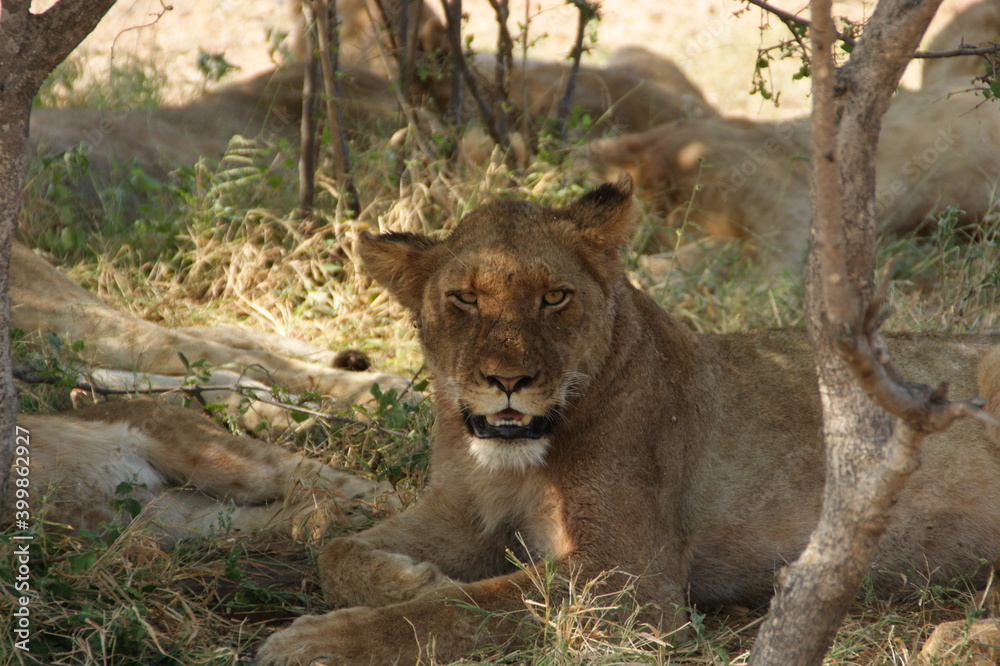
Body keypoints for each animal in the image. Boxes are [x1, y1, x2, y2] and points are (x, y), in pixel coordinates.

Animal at [255, 176, 1000, 665]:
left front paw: (317, 640)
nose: (508, 382)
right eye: (464, 299)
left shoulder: (630, 579)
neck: (512, 466)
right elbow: (335, 549)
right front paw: (412, 577)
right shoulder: (458, 516)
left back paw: (955, 640)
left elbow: (470, 607)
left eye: (555, 298)